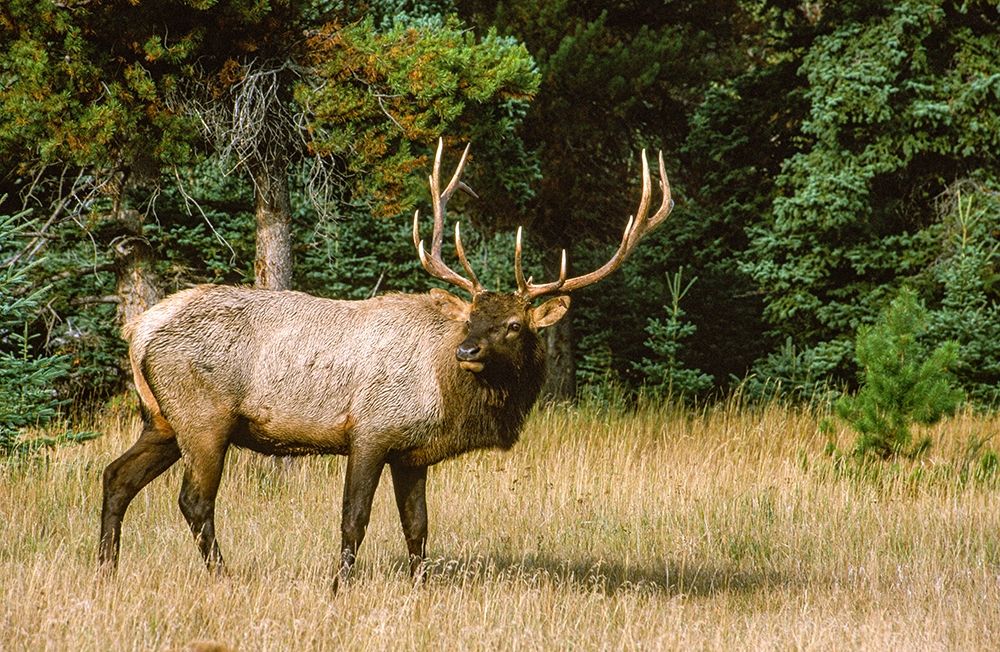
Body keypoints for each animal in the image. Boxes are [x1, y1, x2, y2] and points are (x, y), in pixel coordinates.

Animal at [98, 139, 673, 587]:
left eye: (514, 324)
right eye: (471, 318)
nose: (467, 352)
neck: (444, 396)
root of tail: (139, 331)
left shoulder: (412, 454)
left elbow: (417, 527)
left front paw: (420, 587)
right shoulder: (372, 430)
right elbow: (354, 518)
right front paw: (339, 586)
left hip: (161, 419)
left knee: (115, 476)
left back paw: (106, 568)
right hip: (203, 417)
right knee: (194, 501)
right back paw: (223, 576)